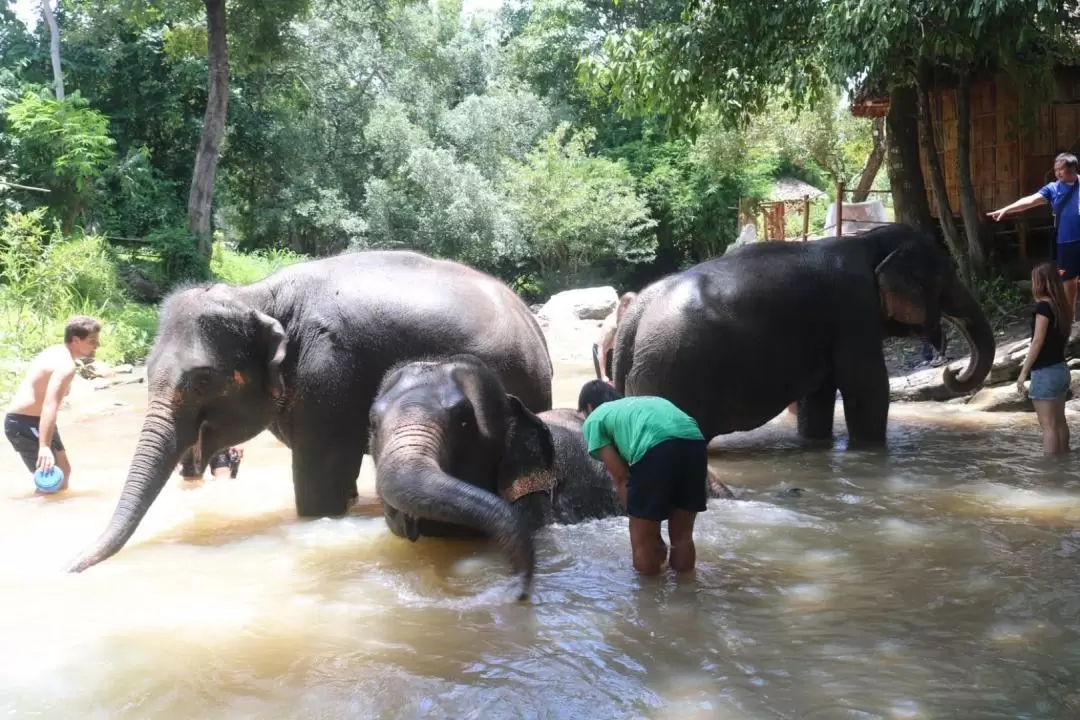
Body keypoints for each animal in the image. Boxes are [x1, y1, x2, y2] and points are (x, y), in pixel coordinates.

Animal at [66, 252, 552, 574]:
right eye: (146, 374)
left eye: (202, 380)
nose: (70, 566)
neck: (257, 295)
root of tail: (529, 319)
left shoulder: (328, 372)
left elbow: (319, 484)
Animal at [617, 222, 993, 444]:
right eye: (944, 277)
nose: (951, 369)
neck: (869, 241)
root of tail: (634, 316)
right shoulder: (853, 311)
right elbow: (866, 388)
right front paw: (871, 450)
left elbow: (820, 394)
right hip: (669, 372)